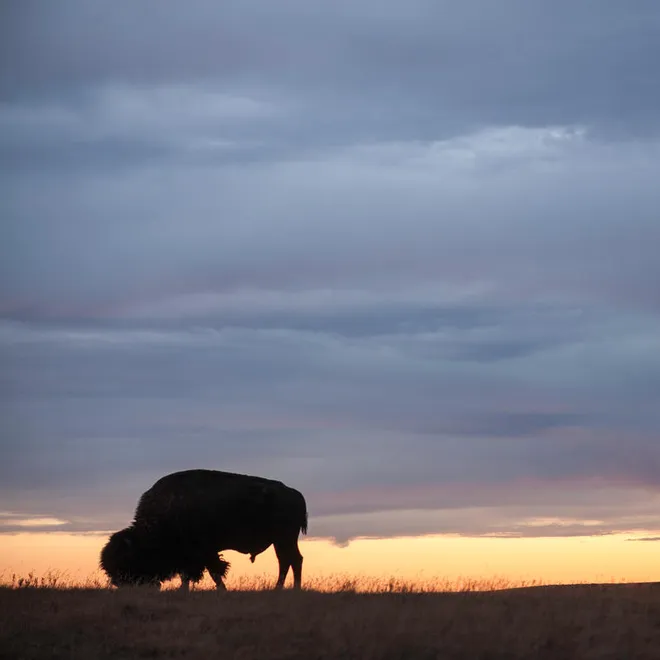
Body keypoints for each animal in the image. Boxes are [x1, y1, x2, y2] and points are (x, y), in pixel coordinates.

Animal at [100, 469, 308, 591]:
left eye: (128, 559)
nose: (122, 584)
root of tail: (295, 494)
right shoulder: (197, 555)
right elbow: (202, 573)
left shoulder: (202, 553)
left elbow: (211, 572)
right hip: (281, 540)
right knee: (289, 560)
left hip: (284, 539)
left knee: (291, 560)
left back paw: (287, 589)